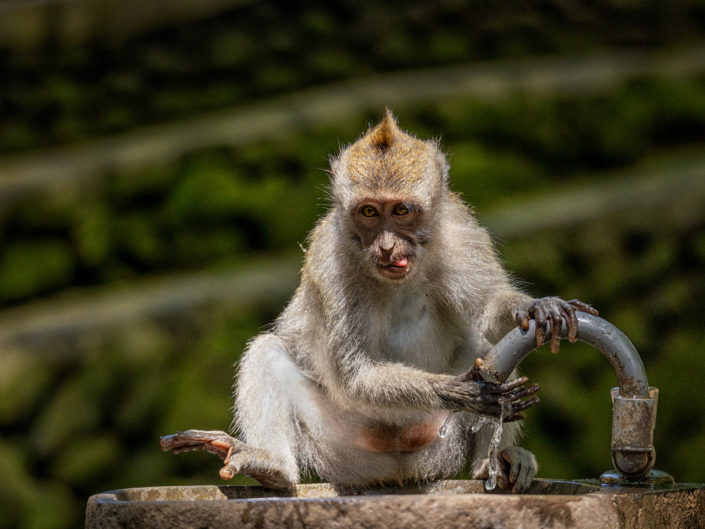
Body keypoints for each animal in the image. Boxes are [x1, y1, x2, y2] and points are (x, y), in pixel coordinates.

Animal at [160, 110, 598, 493]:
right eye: (369, 212)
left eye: (401, 209)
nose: (387, 247)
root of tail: (398, 474)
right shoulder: (330, 260)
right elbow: (353, 374)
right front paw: (459, 392)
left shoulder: (461, 230)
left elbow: (491, 313)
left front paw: (537, 307)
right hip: (341, 449)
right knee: (267, 351)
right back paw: (273, 468)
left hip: (440, 444)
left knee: (488, 344)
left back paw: (494, 465)